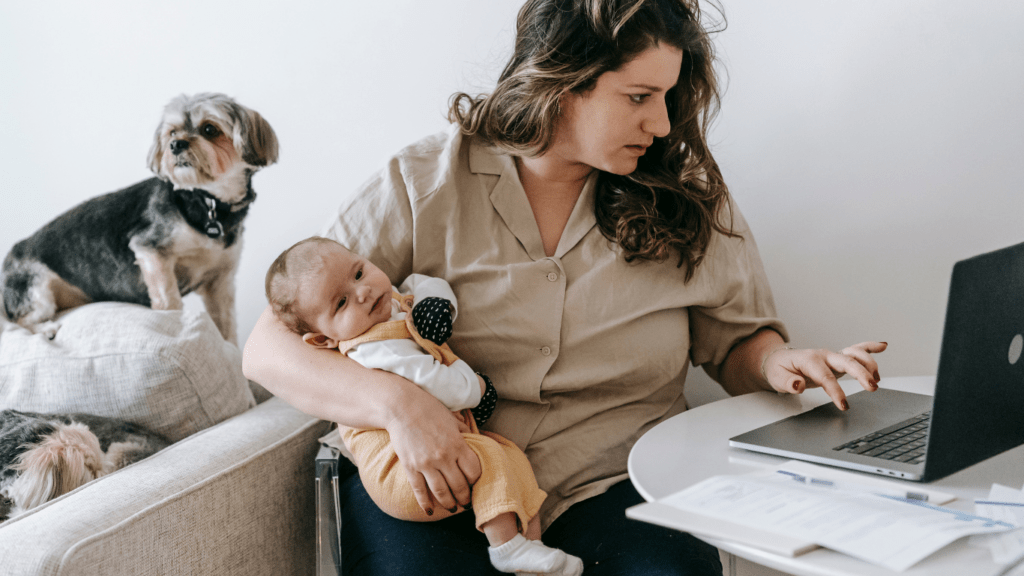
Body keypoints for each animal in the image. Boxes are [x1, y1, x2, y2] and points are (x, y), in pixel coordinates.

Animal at [0, 92, 278, 342]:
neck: (207, 201)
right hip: (35, 290)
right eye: (172, 132)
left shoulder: (220, 280)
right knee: (16, 322)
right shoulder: (151, 251)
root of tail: (10, 256)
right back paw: (45, 329)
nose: (175, 145)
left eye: (210, 129)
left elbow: (226, 326)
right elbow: (169, 300)